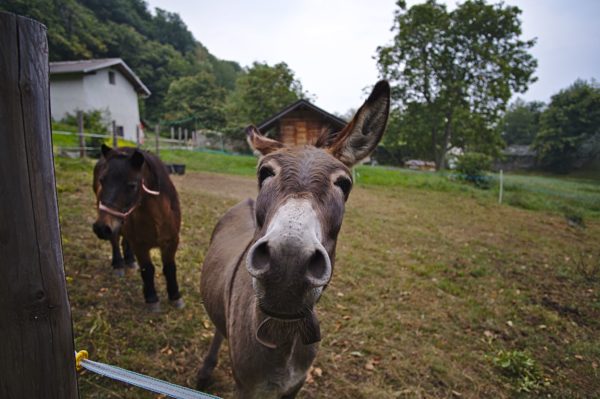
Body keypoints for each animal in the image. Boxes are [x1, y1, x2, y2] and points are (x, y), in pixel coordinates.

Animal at [92, 145, 183, 310]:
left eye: (132, 185)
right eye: (102, 180)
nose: (100, 228)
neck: (157, 219)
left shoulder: (171, 242)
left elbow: (170, 268)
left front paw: (175, 297)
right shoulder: (140, 245)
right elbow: (148, 269)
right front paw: (152, 299)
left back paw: (130, 261)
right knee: (115, 240)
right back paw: (118, 264)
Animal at [197, 79, 392, 398]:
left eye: (344, 184)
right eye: (264, 173)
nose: (288, 261)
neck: (283, 336)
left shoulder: (295, 386)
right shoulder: (245, 387)